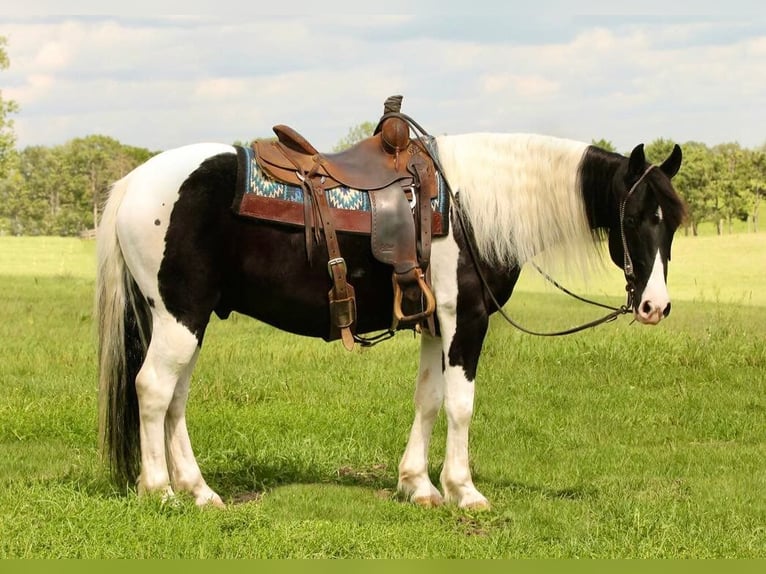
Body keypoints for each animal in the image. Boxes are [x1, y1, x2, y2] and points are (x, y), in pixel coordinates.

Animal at [97, 130, 688, 508]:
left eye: (674, 222)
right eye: (637, 217)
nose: (655, 306)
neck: (471, 207)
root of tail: (134, 183)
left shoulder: (435, 324)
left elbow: (427, 399)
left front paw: (418, 486)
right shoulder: (466, 319)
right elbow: (460, 404)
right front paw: (464, 491)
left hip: (188, 321)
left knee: (175, 399)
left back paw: (198, 491)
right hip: (179, 317)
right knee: (154, 389)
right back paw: (160, 491)